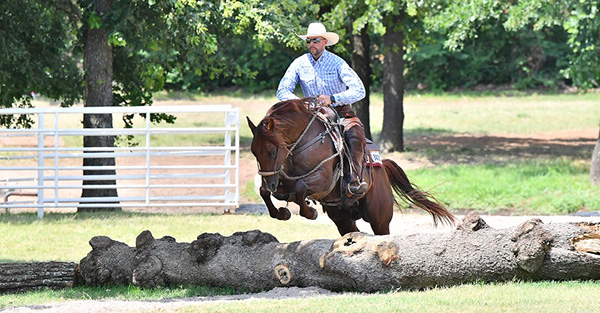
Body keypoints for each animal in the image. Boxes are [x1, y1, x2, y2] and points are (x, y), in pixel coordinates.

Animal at [246, 97, 452, 234]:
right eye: (254, 152)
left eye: (272, 151)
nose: (271, 183)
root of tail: (382, 166)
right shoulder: (282, 181)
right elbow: (266, 192)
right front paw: (281, 212)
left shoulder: (323, 180)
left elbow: (300, 188)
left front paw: (310, 212)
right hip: (342, 217)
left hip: (379, 217)